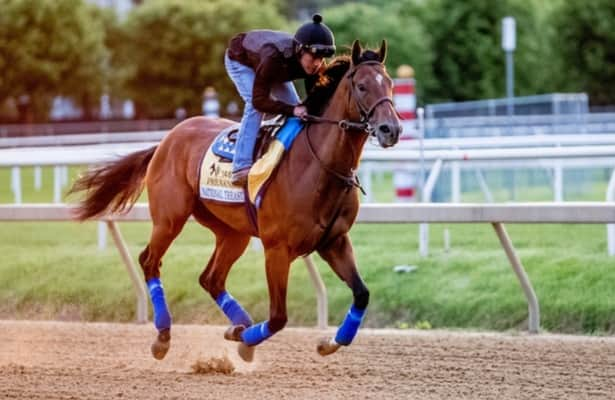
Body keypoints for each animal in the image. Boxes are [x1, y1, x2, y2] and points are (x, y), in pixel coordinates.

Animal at [70, 40, 402, 362]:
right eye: (362, 86)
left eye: (390, 84)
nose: (392, 129)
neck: (318, 166)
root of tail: (167, 139)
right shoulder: (276, 250)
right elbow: (278, 317)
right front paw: (246, 344)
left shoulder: (334, 241)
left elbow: (362, 293)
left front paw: (329, 342)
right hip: (169, 219)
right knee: (150, 261)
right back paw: (164, 337)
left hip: (233, 232)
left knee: (211, 278)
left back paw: (239, 325)